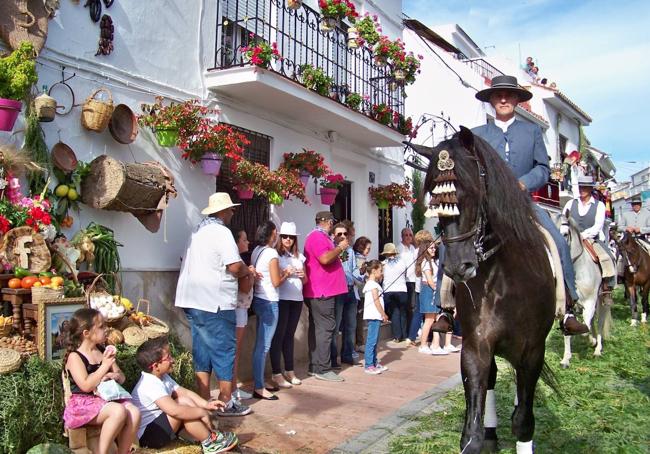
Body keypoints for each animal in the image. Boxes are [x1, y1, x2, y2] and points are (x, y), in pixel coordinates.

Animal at [422, 126, 556, 452]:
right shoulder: (476, 347)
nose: (458, 267)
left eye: (471, 192)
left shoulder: (533, 350)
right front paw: (482, 436)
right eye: (435, 202)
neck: (507, 282)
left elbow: (523, 422)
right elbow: (472, 432)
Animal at [548, 215, 612, 368]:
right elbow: (568, 330)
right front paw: (566, 358)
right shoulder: (567, 305)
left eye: (565, 234)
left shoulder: (590, 302)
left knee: (600, 322)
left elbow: (585, 326)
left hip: (602, 302)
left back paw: (597, 348)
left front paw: (591, 340)